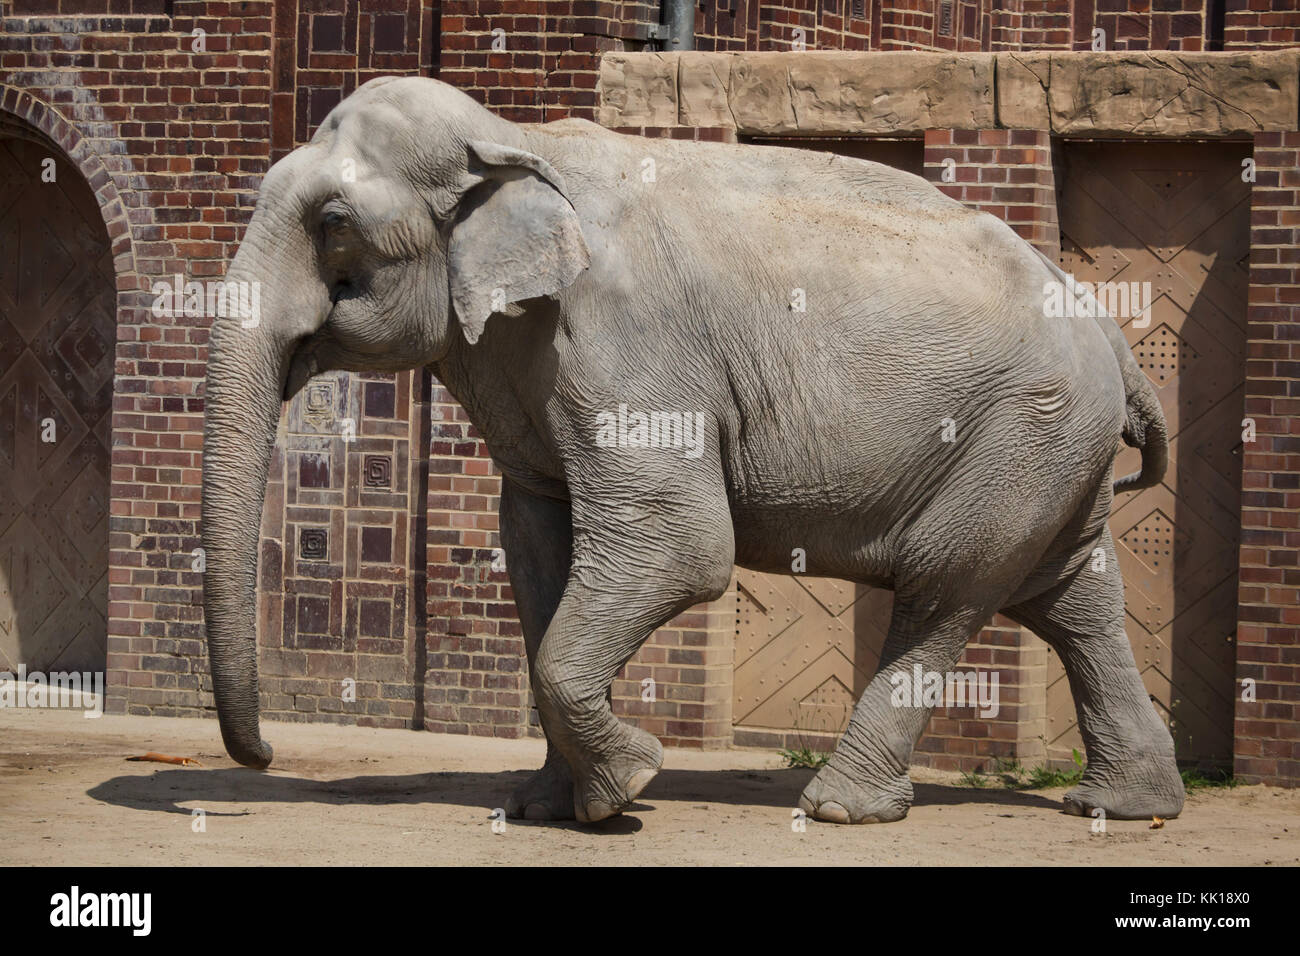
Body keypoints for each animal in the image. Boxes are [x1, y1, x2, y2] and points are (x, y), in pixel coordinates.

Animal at [197, 74, 1185, 827]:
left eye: (333, 222)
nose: (268, 755)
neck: (513, 137)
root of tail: (1101, 318)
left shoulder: (627, 343)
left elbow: (678, 544)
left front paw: (626, 786)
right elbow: (537, 551)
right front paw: (549, 806)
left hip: (1023, 430)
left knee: (948, 585)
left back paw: (840, 809)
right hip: (1053, 448)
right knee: (1071, 591)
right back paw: (1125, 806)